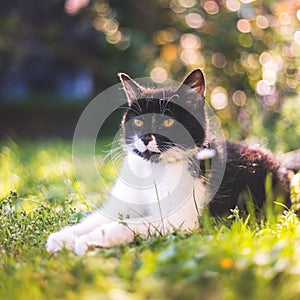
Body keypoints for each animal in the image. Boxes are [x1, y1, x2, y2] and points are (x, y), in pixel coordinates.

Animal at [46, 69, 292, 254]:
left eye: (167, 123)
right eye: (137, 122)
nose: (146, 138)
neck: (152, 170)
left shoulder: (178, 219)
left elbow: (125, 225)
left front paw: (89, 239)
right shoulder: (122, 204)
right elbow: (96, 218)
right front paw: (63, 236)